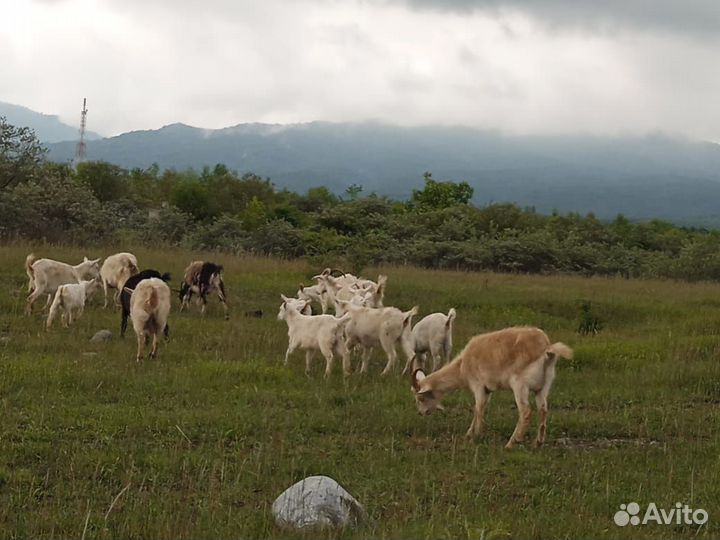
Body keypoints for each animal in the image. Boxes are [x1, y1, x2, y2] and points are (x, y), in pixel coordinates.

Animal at [410, 327, 573, 448]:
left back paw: (511, 443)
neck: (462, 365)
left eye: (420, 397)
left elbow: (478, 408)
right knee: (543, 409)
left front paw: (473, 437)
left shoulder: (478, 386)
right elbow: (481, 408)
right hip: (543, 386)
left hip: (520, 385)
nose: (421, 413)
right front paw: (469, 434)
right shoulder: (488, 390)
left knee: (525, 412)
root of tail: (547, 348)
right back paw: (537, 443)